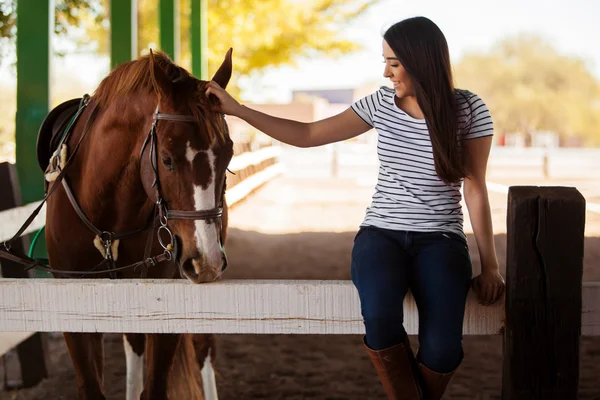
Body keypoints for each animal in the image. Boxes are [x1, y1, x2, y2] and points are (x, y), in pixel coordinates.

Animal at [38, 48, 234, 398]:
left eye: (228, 156)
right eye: (167, 159)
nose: (205, 260)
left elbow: (154, 386)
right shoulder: (73, 301)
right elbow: (92, 385)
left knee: (203, 348)